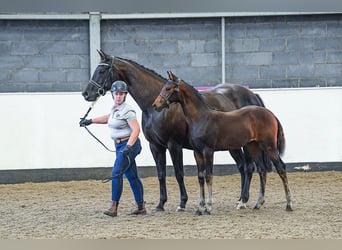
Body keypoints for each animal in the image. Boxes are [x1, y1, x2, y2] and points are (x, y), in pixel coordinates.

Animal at [81, 50, 270, 211]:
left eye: (101, 70)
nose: (86, 94)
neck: (155, 108)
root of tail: (252, 95)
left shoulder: (174, 145)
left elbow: (179, 173)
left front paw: (182, 203)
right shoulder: (155, 146)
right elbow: (161, 174)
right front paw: (160, 204)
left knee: (247, 167)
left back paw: (244, 200)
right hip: (235, 145)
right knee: (243, 167)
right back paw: (241, 200)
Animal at [154, 79, 292, 213]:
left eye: (168, 88)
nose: (155, 105)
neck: (202, 118)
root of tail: (271, 114)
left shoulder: (208, 151)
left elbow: (209, 176)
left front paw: (208, 207)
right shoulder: (197, 152)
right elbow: (200, 177)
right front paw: (199, 208)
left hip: (269, 146)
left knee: (281, 168)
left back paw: (288, 204)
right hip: (253, 147)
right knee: (262, 170)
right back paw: (258, 204)